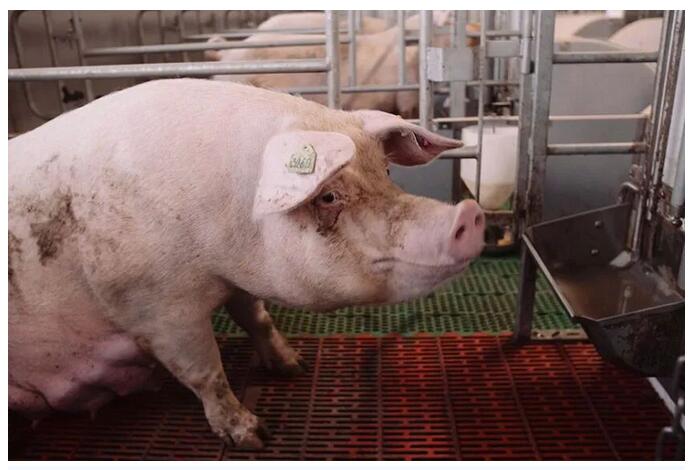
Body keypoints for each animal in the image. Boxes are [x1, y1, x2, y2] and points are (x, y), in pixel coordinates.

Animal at [9, 79, 485, 448]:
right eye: (328, 196)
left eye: (385, 174)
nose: (468, 214)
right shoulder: (155, 306)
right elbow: (205, 371)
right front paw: (255, 436)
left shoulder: (235, 281)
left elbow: (257, 317)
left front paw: (294, 367)